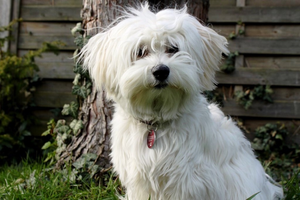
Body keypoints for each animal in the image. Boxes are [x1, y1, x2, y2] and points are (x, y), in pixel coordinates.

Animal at [81, 3, 282, 200]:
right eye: (140, 52)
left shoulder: (188, 182)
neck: (157, 123)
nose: (161, 71)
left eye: (173, 48)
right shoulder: (139, 180)